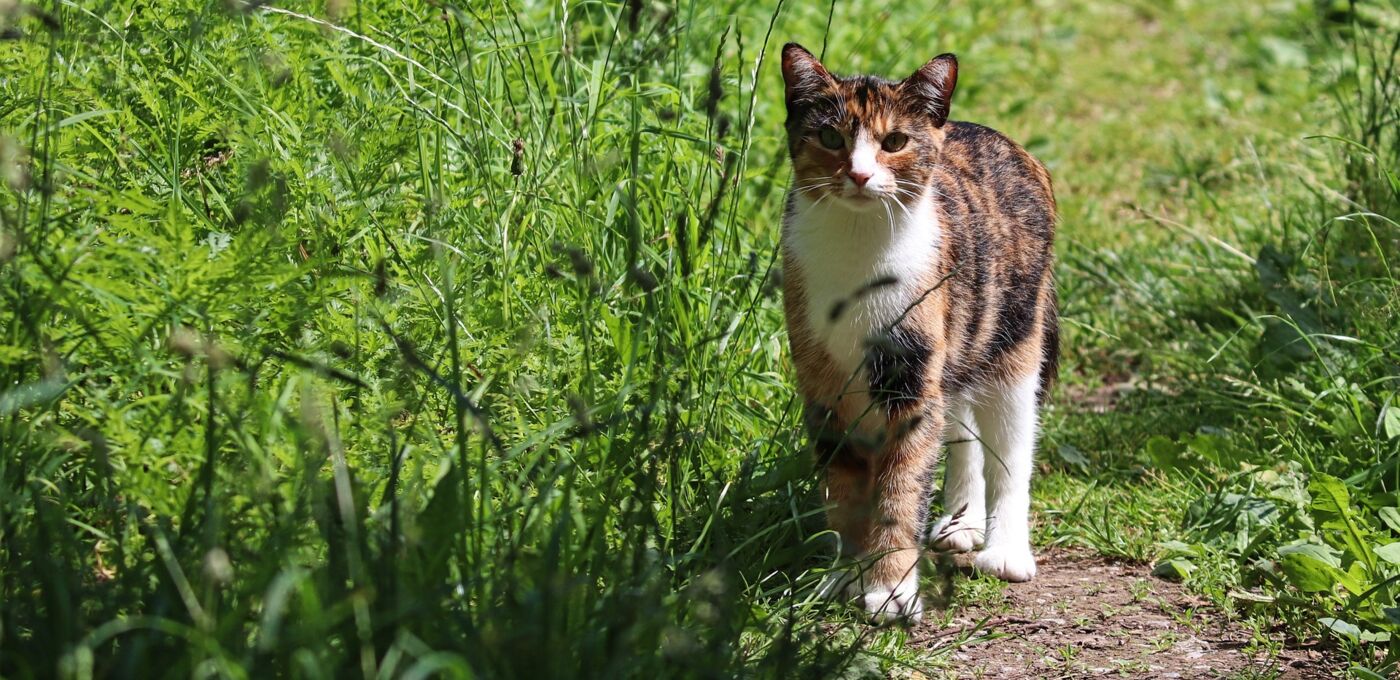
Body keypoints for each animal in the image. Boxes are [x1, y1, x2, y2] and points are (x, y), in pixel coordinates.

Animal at [778, 43, 1058, 626]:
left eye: (894, 142)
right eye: (831, 138)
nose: (860, 175)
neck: (859, 251)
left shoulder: (911, 377)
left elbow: (901, 488)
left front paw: (889, 590)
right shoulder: (822, 385)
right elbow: (843, 490)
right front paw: (845, 575)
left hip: (1013, 337)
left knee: (1011, 446)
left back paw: (1005, 549)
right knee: (963, 429)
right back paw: (960, 523)